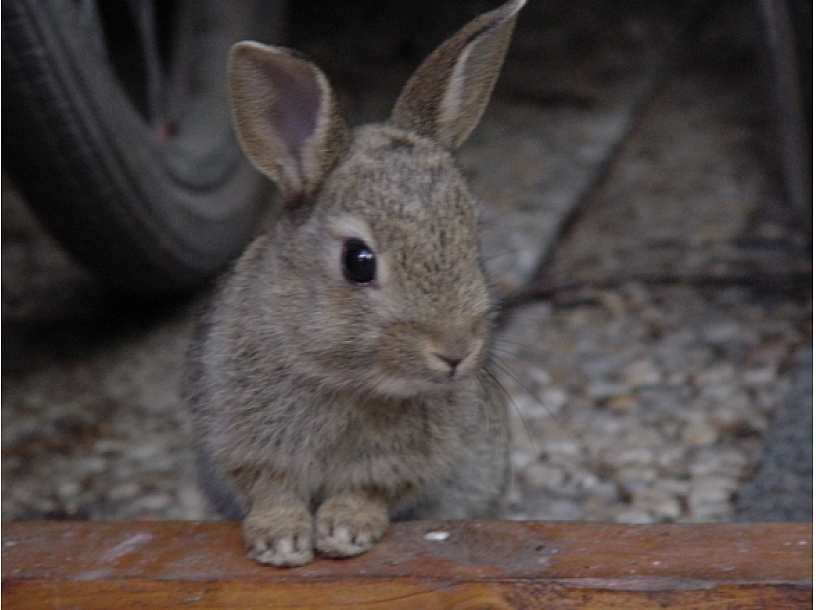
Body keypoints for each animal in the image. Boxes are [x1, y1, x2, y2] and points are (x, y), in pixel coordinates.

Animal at [183, 0, 528, 564]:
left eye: (471, 239)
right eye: (358, 261)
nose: (455, 353)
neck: (346, 379)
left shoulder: (403, 464)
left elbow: (369, 491)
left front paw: (344, 531)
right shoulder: (242, 442)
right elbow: (270, 489)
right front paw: (280, 541)